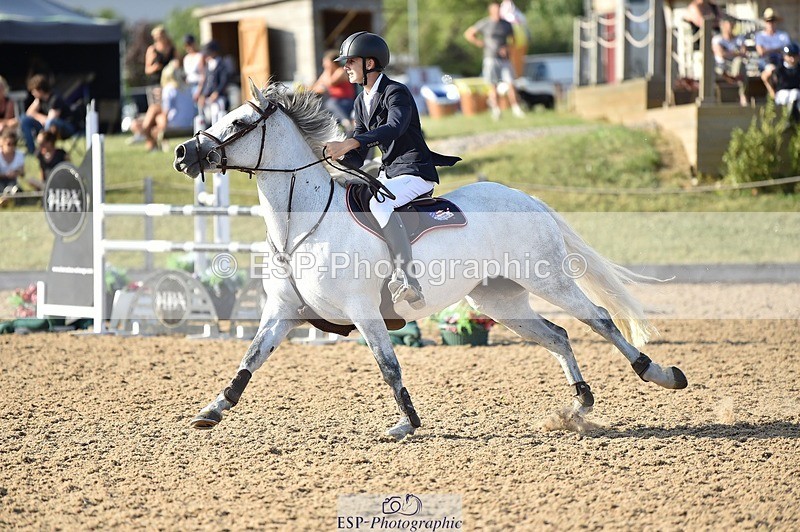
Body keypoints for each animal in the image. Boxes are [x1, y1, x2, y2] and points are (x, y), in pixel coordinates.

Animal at [173, 80, 687, 440]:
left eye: (239, 123)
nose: (182, 153)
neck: (302, 225)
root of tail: (527, 198)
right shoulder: (283, 313)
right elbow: (250, 359)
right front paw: (211, 410)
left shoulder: (364, 311)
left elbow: (388, 365)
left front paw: (407, 423)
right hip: (499, 300)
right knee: (558, 335)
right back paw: (577, 407)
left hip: (548, 280)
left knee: (598, 319)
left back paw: (660, 374)